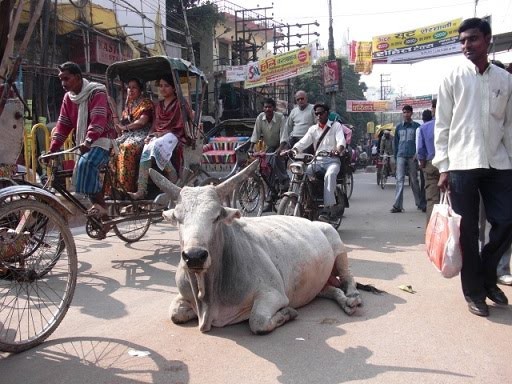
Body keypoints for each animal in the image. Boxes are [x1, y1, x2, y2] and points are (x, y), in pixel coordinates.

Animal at [150, 164, 362, 334]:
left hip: (337, 245)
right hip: (319, 283)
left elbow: (257, 321)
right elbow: (175, 314)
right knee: (331, 289)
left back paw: (353, 297)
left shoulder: (274, 294)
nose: (194, 256)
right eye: (178, 218)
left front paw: (287, 313)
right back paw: (345, 302)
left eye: (217, 216)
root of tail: (312, 221)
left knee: (348, 277)